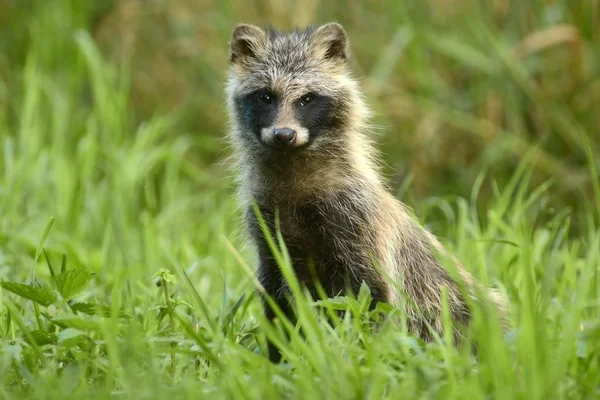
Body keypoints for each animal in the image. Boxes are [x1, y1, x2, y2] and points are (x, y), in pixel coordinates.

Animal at [225, 21, 506, 360]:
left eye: (307, 98)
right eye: (266, 96)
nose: (284, 134)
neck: (294, 177)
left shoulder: (359, 223)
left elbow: (373, 297)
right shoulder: (268, 230)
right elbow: (278, 304)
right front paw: (280, 357)